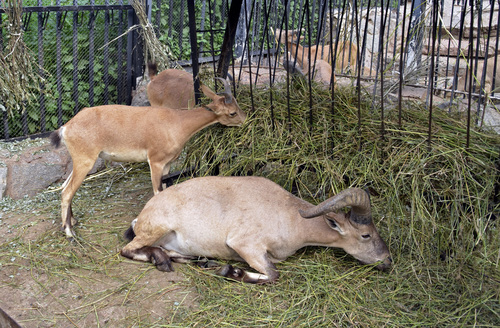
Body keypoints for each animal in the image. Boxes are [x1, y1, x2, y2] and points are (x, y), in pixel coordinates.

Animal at [50, 79, 246, 238]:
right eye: (232, 113)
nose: (245, 120)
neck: (176, 123)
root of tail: (66, 128)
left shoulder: (167, 164)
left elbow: (166, 191)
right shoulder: (155, 162)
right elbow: (157, 192)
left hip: (79, 162)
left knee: (64, 187)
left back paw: (72, 222)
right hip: (85, 161)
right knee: (67, 192)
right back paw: (69, 233)